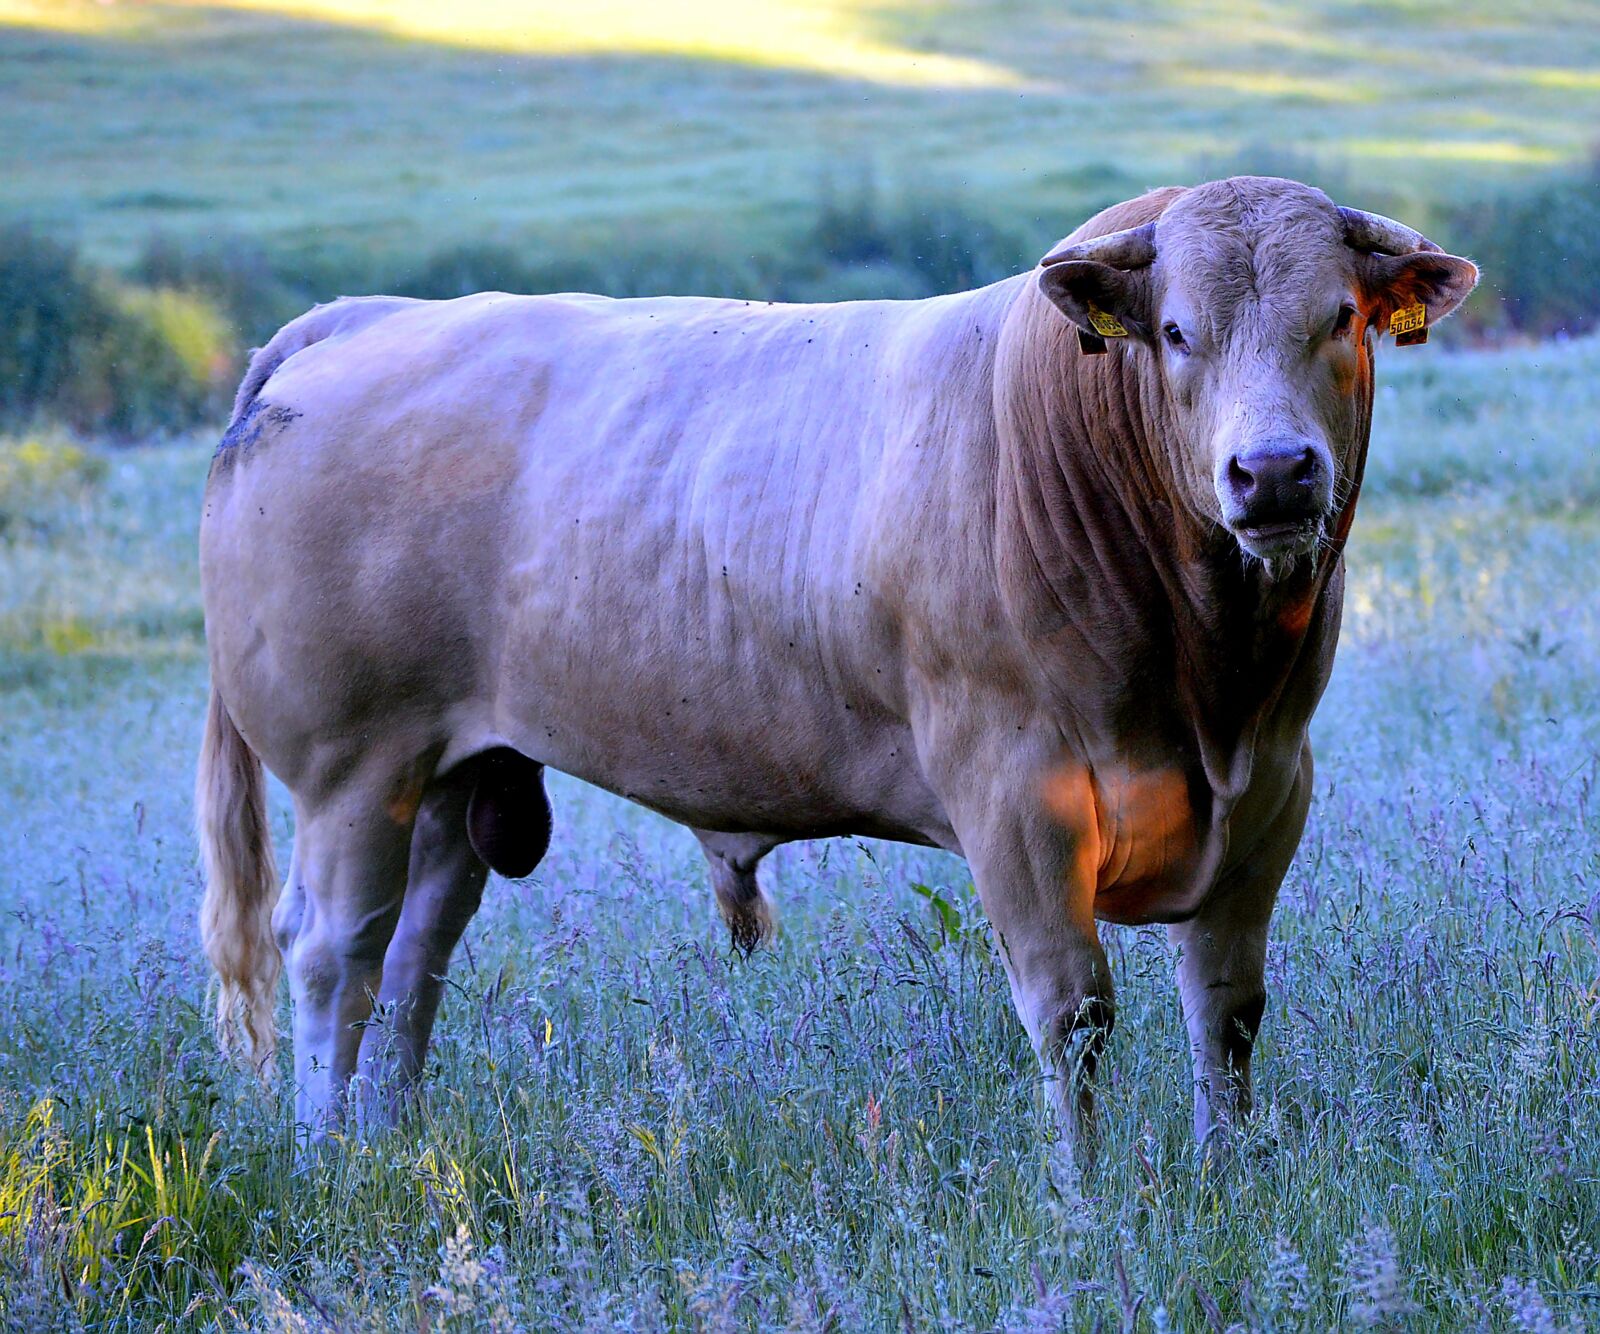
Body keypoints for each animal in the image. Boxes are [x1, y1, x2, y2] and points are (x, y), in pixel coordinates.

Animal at [196, 176, 1476, 1158]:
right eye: (1173, 333)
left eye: (1339, 318)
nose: (1274, 471)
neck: (1206, 673)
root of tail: (366, 317)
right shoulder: (1017, 799)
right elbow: (1073, 1011)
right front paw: (1089, 1201)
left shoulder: (1269, 790)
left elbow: (1227, 1011)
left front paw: (1222, 1181)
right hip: (352, 766)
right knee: (333, 951)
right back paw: (327, 1151)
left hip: (453, 770)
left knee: (414, 953)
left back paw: (393, 1142)